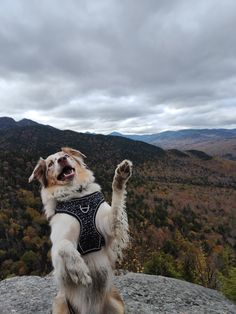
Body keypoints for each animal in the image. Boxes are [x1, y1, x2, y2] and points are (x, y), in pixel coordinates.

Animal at [28, 148, 132, 314]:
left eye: (66, 155)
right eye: (50, 164)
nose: (62, 159)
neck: (78, 196)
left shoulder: (110, 224)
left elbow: (116, 204)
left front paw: (120, 176)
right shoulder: (58, 251)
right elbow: (64, 246)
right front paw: (79, 268)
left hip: (116, 304)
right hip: (60, 303)